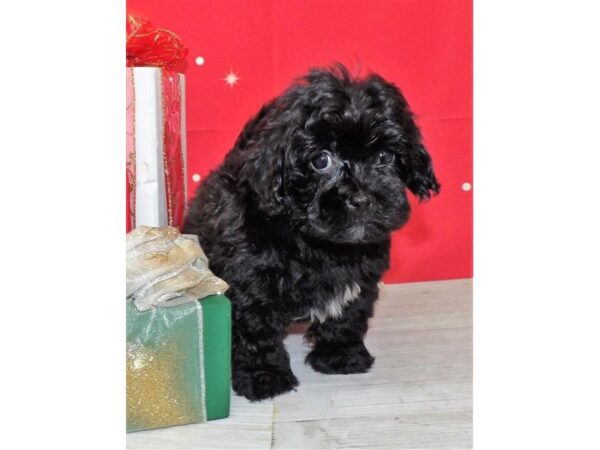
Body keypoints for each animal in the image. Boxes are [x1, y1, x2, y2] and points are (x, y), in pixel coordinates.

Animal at [182, 64, 436, 400]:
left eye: (385, 157)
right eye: (321, 160)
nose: (361, 198)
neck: (315, 242)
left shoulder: (360, 276)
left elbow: (347, 315)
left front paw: (341, 355)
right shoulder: (249, 281)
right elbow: (256, 329)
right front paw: (264, 376)